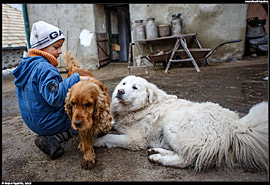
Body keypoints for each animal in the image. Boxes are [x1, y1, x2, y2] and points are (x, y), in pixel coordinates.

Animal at [94, 76, 268, 171]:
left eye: (135, 87)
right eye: (123, 84)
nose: (120, 91)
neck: (143, 107)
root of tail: (235, 126)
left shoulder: (135, 139)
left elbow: (110, 137)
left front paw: (96, 141)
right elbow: (111, 124)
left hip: (172, 126)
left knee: (186, 160)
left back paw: (159, 158)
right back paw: (157, 152)